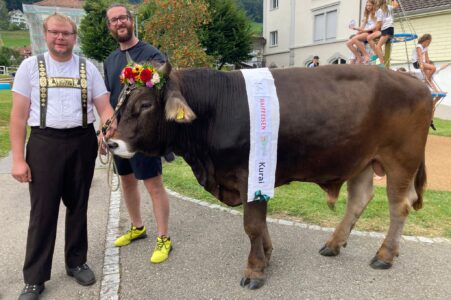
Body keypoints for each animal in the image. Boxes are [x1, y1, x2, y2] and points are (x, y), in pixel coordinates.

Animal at [107, 62, 434, 290]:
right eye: (123, 103)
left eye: (146, 104)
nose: (111, 143)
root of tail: (413, 81)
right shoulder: (252, 178)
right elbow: (260, 222)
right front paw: (266, 253)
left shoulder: (248, 172)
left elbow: (251, 224)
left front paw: (255, 269)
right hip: (362, 159)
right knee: (360, 198)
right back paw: (333, 243)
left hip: (400, 159)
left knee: (399, 206)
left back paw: (384, 255)